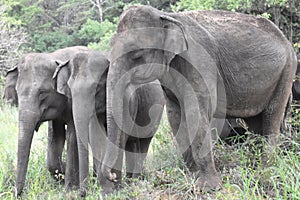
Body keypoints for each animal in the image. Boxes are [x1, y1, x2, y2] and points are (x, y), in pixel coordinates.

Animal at [15, 46, 89, 196]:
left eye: (42, 92)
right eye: (17, 92)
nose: (17, 194)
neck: (52, 57)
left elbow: (72, 135)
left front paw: (69, 189)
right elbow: (56, 136)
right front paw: (62, 174)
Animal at [53, 50, 165, 195]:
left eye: (96, 87)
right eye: (69, 88)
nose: (82, 193)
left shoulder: (126, 99)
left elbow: (120, 136)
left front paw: (115, 189)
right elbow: (96, 136)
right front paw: (106, 190)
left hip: (155, 111)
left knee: (143, 143)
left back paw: (134, 182)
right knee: (132, 144)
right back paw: (129, 181)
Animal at [101, 5, 298, 192]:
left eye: (137, 54)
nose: (112, 177)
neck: (166, 16)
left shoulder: (199, 62)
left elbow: (196, 112)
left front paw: (208, 187)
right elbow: (175, 115)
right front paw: (193, 178)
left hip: (287, 71)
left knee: (272, 117)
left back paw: (266, 172)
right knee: (256, 122)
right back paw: (254, 169)